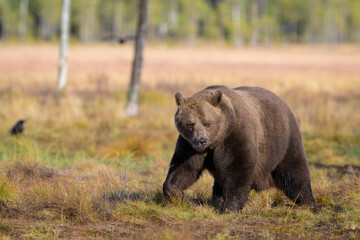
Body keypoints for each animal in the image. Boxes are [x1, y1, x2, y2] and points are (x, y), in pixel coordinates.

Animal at [163, 85, 316, 213]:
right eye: (190, 124)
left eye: (207, 123)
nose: (201, 141)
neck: (216, 140)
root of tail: (283, 102)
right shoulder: (190, 147)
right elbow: (184, 168)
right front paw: (176, 195)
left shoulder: (236, 136)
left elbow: (238, 169)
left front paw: (230, 208)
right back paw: (217, 198)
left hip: (283, 140)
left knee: (294, 171)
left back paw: (307, 203)